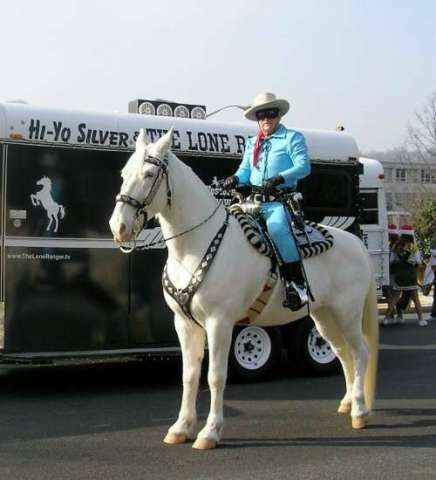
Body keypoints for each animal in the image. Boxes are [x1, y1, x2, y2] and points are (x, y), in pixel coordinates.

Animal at [109, 128, 378, 450]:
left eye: (149, 174)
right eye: (124, 173)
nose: (118, 227)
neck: (197, 243)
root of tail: (357, 245)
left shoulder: (220, 323)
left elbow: (215, 376)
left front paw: (210, 432)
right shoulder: (184, 323)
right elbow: (189, 375)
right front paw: (181, 427)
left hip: (347, 314)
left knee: (360, 352)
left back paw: (360, 411)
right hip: (324, 316)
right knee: (343, 353)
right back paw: (348, 403)